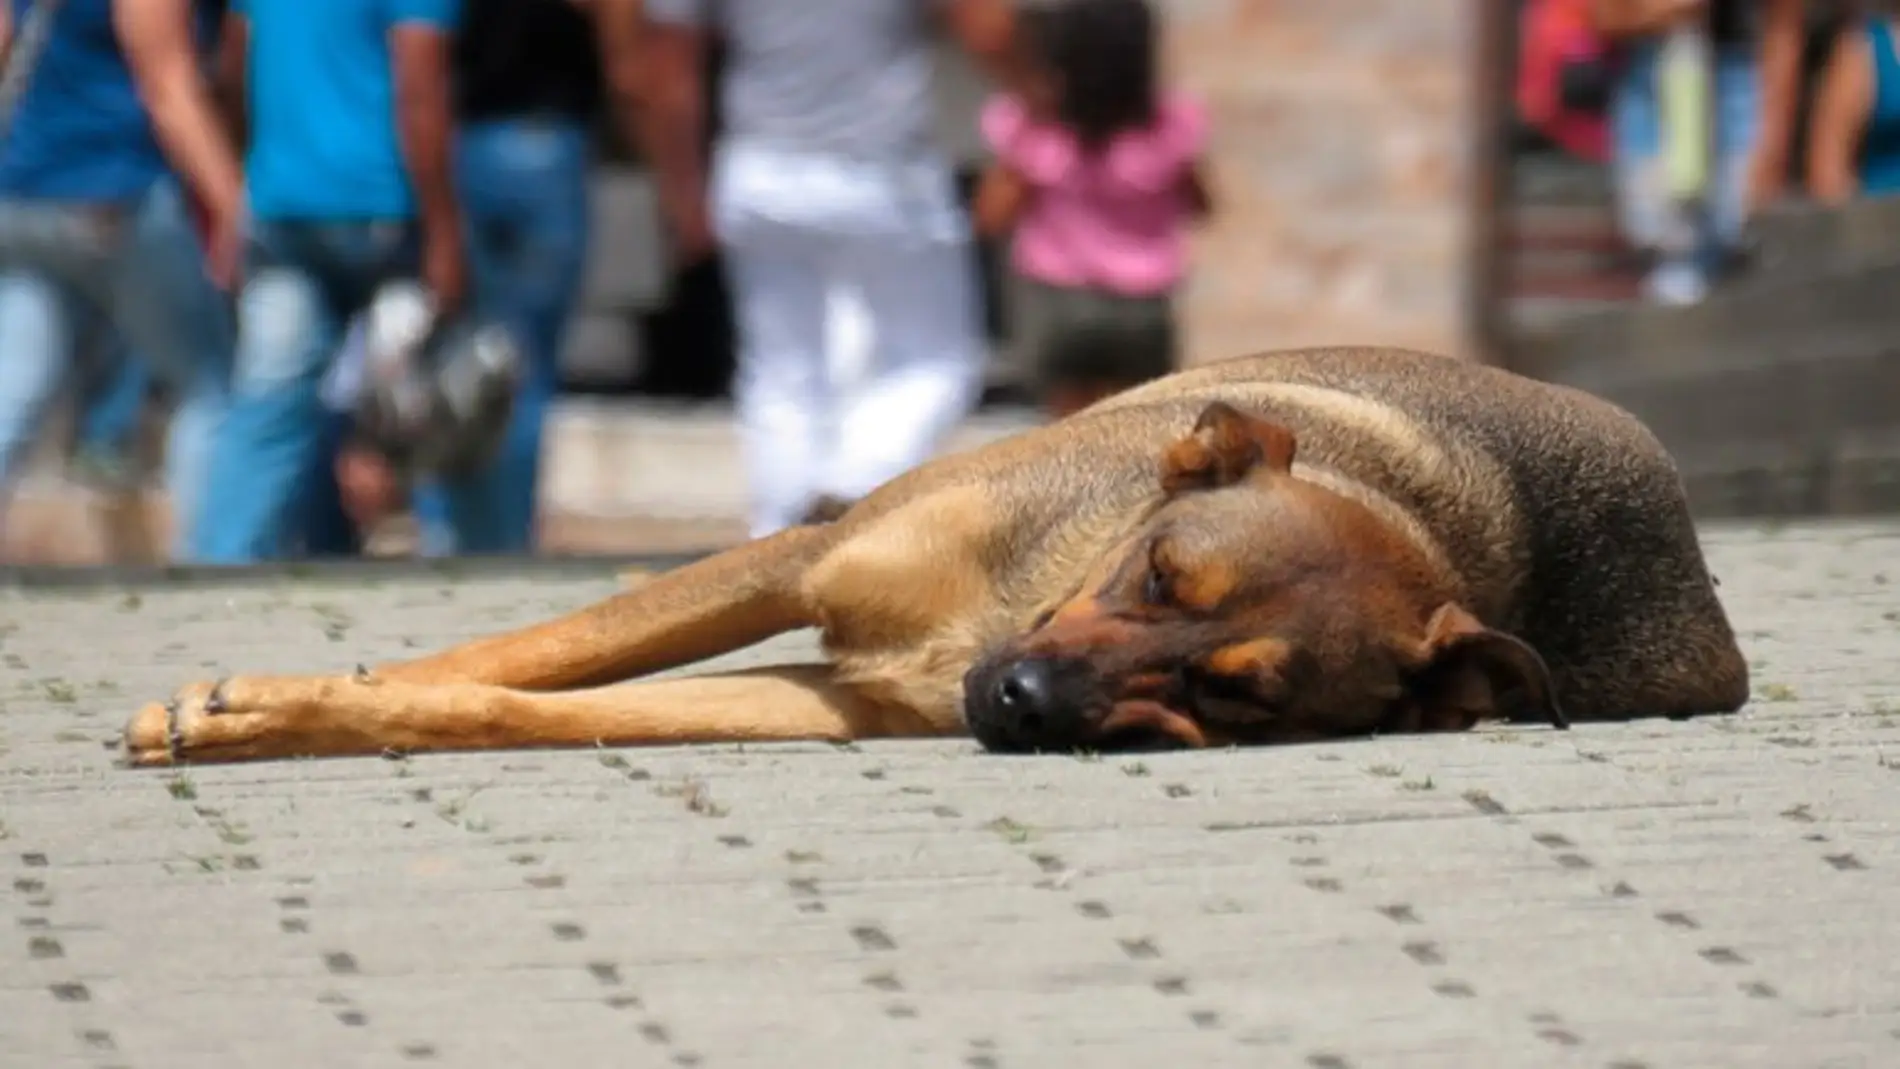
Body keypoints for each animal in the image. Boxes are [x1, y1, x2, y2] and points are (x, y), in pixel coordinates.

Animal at [118, 347, 1748, 767]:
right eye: (1160, 576)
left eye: (1236, 694)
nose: (1017, 706)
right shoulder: (803, 558)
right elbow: (512, 653)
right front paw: (263, 701)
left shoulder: (831, 697)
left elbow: (503, 702)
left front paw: (297, 711)